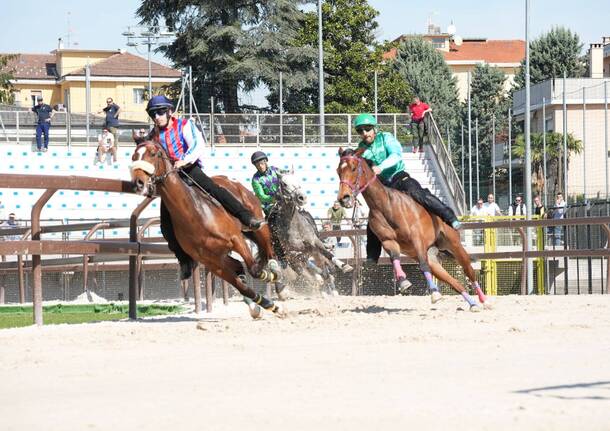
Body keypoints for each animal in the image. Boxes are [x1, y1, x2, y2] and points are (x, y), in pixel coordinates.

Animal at [129, 140, 284, 318]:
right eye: (134, 156)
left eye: (153, 154)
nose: (138, 183)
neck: (194, 214)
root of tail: (235, 183)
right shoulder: (211, 262)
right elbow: (241, 286)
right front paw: (267, 305)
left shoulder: (236, 239)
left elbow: (255, 270)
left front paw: (271, 280)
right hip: (221, 255)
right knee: (238, 265)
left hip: (256, 225)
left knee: (269, 250)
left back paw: (277, 275)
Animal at [334, 148, 492, 310]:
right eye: (338, 171)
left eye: (353, 168)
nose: (343, 198)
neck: (386, 206)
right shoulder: (388, 241)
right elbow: (395, 258)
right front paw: (403, 282)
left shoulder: (417, 240)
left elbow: (422, 265)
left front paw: (434, 294)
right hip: (432, 258)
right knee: (454, 282)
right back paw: (472, 304)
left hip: (454, 244)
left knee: (468, 270)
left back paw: (483, 300)